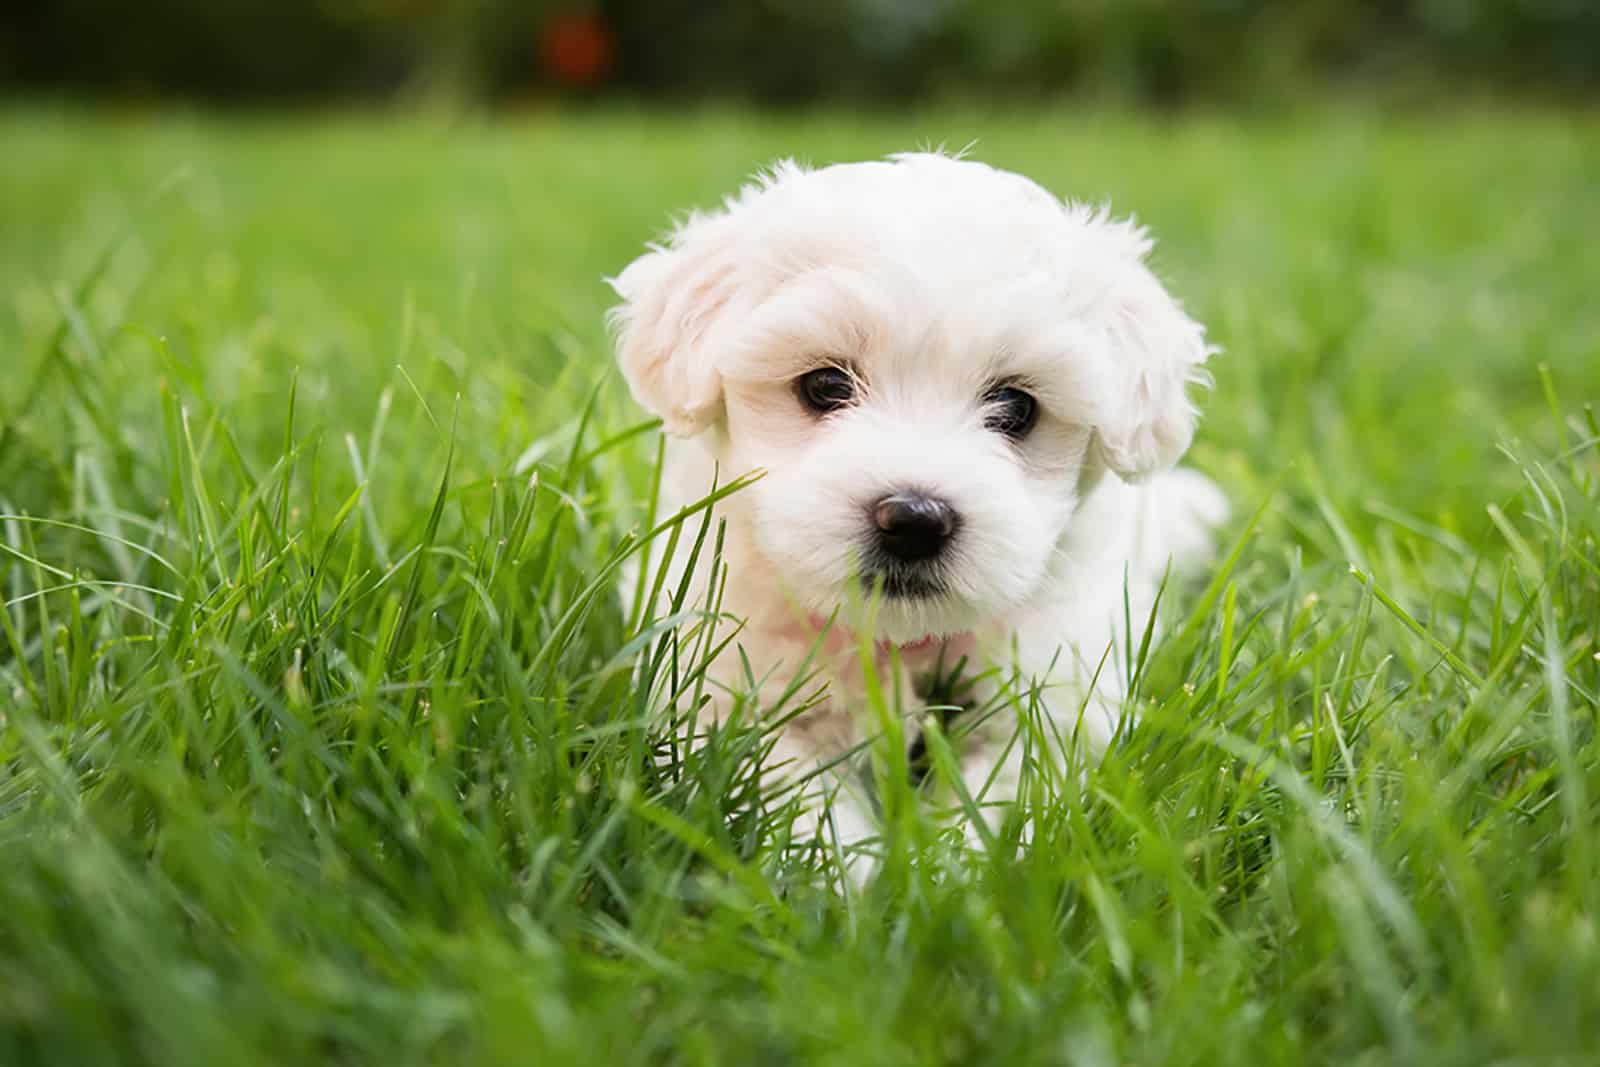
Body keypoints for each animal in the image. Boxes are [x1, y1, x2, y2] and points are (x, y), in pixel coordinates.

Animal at [608, 150, 1222, 870]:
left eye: (1016, 407)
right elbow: (790, 796)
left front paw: (951, 872)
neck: (898, 642)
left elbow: (1003, 800)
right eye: (825, 385)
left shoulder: (1049, 702)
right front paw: (846, 879)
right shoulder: (728, 691)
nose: (914, 519)